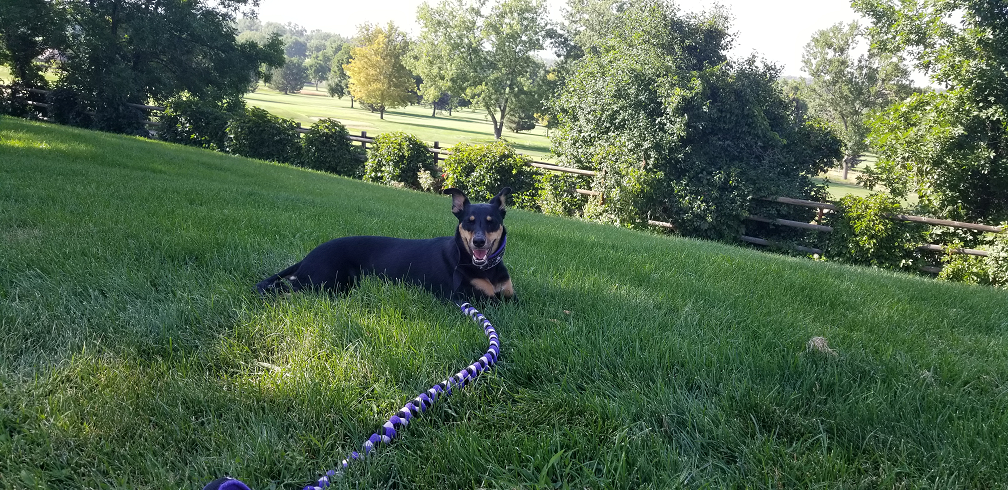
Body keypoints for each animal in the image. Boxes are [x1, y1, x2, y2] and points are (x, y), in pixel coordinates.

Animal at [256, 187, 516, 302]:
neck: (485, 267)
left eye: (492, 222)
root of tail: (309, 256)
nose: (479, 241)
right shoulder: (473, 298)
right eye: (468, 222)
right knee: (289, 288)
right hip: (329, 283)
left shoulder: (509, 295)